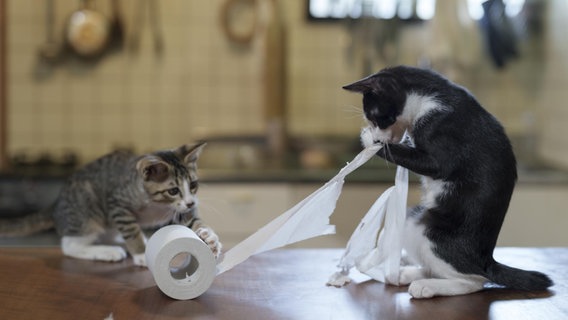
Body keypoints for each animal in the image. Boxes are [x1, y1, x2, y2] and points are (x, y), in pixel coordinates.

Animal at [0, 142, 222, 264]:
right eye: (173, 190)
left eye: (193, 185)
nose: (191, 202)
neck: (157, 204)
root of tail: (56, 203)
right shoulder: (118, 205)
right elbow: (131, 230)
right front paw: (141, 254)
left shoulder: (182, 209)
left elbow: (193, 220)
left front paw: (209, 237)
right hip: (88, 212)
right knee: (70, 245)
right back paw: (107, 251)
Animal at [344, 66, 552, 298]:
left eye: (375, 117)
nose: (377, 134)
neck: (431, 96)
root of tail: (486, 260)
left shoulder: (443, 133)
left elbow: (428, 162)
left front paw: (370, 140)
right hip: (413, 215)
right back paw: (405, 274)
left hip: (427, 228)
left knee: (473, 281)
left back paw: (426, 286)